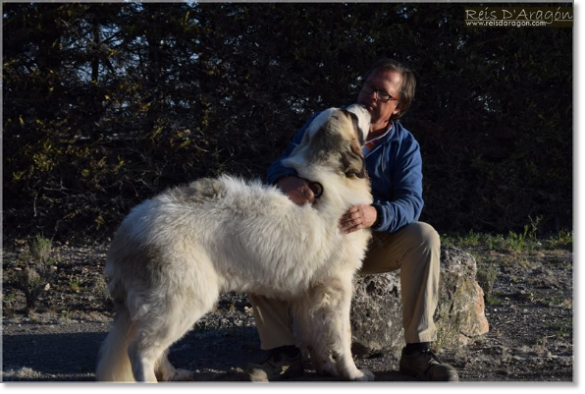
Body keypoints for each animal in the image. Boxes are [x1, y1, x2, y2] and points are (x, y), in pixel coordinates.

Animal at [93, 104, 372, 382]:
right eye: (351, 115)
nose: (364, 107)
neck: (327, 171)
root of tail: (126, 231)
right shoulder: (337, 286)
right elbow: (342, 335)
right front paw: (352, 372)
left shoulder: (310, 293)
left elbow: (316, 334)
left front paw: (326, 367)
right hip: (182, 301)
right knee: (140, 350)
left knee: (155, 348)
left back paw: (173, 374)